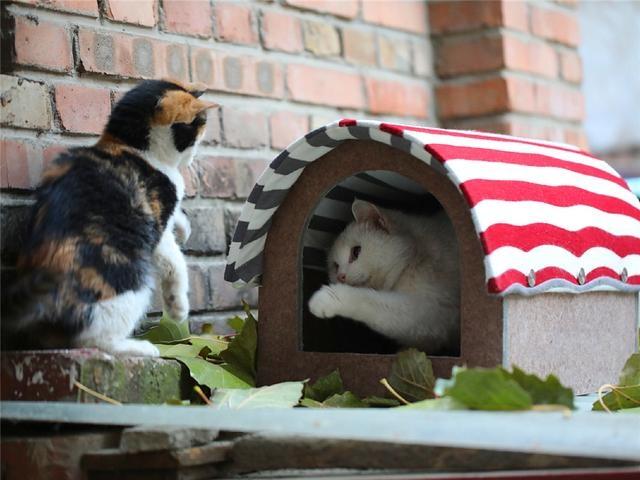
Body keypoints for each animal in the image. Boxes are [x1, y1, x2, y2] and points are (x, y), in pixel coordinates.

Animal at [1, 79, 218, 356]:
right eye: (199, 127)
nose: (194, 156)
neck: (128, 146)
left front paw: (184, 226)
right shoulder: (155, 218)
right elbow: (175, 261)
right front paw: (178, 307)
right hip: (132, 281)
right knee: (91, 340)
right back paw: (139, 347)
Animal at [310, 198, 460, 352]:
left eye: (356, 252)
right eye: (336, 266)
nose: (341, 277)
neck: (413, 259)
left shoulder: (434, 313)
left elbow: (369, 299)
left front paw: (325, 299)